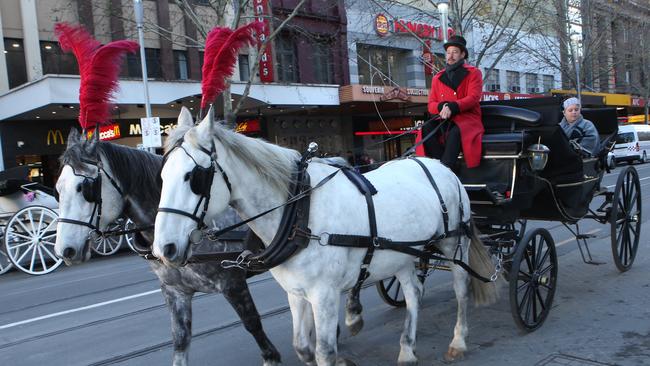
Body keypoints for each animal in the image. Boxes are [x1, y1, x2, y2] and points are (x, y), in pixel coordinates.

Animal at [154, 107, 498, 364]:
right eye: (162, 175)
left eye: (194, 177)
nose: (164, 249)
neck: (300, 213)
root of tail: (438, 165)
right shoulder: (296, 293)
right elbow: (303, 347)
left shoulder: (324, 294)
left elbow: (324, 351)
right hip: (400, 255)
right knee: (414, 292)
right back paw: (407, 349)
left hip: (454, 244)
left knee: (461, 289)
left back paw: (458, 340)